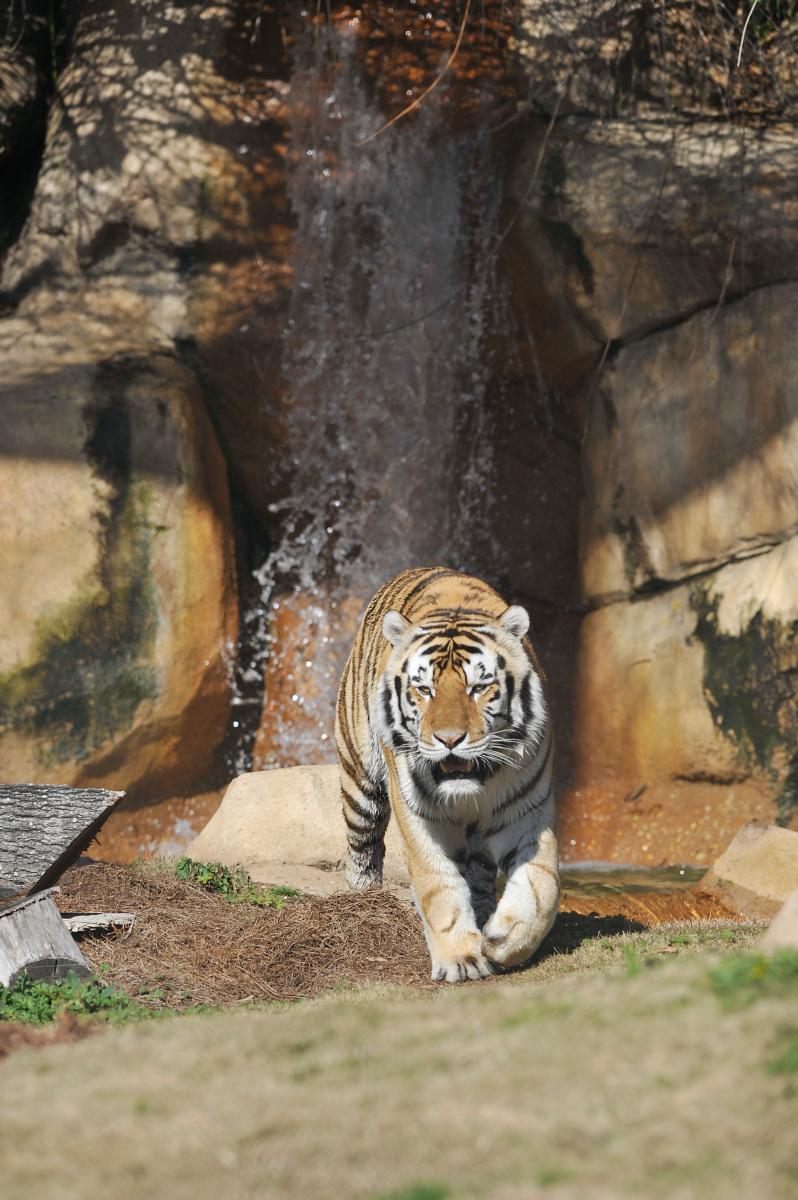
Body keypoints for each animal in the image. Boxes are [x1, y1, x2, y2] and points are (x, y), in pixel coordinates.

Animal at [333, 566, 556, 979]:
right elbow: (438, 886)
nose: (449, 739)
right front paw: (461, 960)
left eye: (479, 687)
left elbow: (541, 885)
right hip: (360, 777)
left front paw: (505, 940)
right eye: (424, 689)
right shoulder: (420, 814)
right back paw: (361, 896)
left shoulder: (527, 809)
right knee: (364, 843)